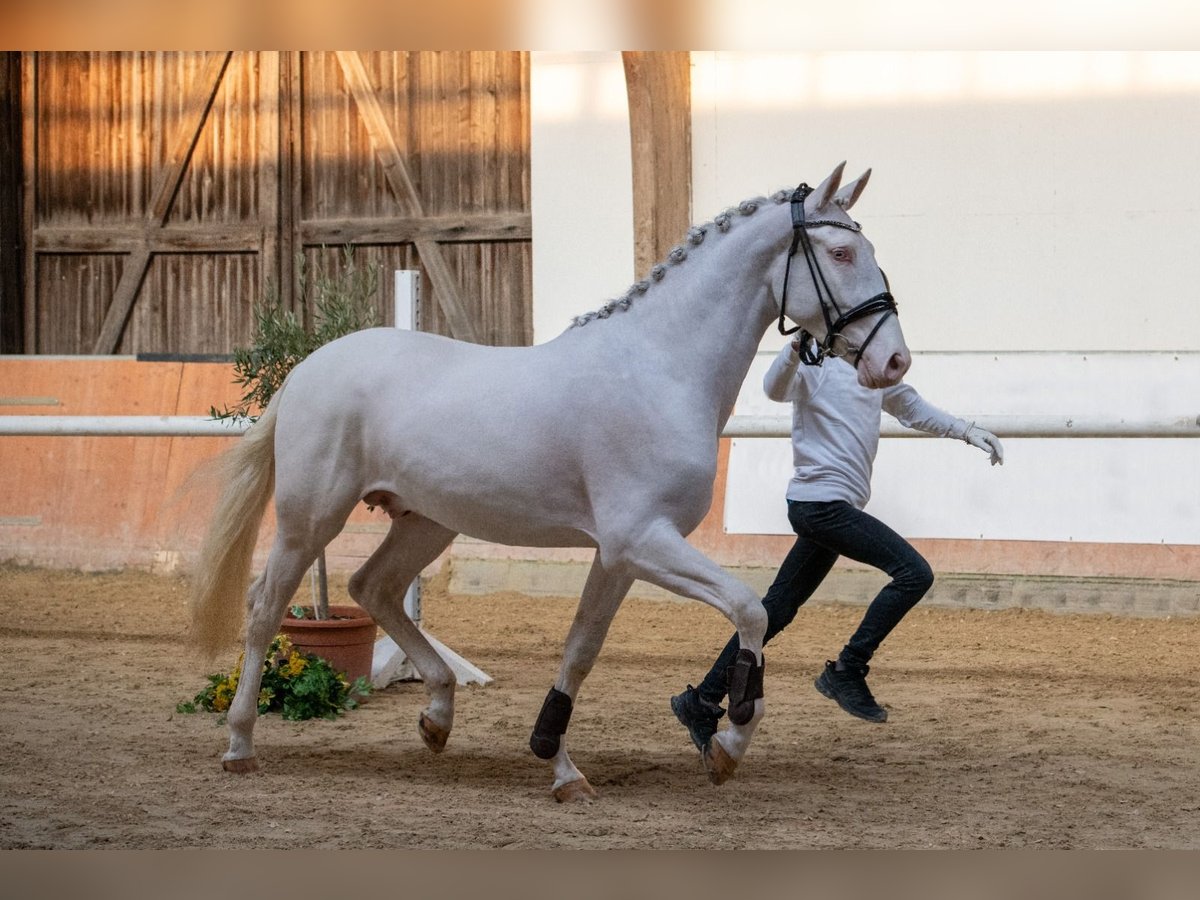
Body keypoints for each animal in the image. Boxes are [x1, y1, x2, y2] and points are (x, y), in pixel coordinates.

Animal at [189, 162, 907, 801]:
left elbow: (580, 650)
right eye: (841, 251)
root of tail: (306, 367)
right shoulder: (641, 540)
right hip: (312, 515)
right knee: (265, 606)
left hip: (427, 522)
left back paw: (437, 716)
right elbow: (750, 608)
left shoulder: (618, 556)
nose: (893, 360)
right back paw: (240, 744)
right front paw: (727, 746)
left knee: (375, 587)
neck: (660, 368)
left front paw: (560, 766)